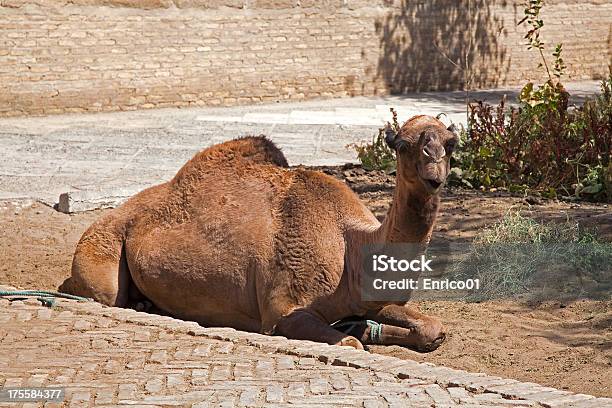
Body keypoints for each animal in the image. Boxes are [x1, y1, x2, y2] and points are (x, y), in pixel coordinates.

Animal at [59, 115, 456, 350]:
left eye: (451, 144)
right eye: (402, 144)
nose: (434, 175)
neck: (351, 243)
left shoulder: (362, 298)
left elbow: (434, 329)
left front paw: (369, 328)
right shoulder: (283, 311)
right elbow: (349, 343)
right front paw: (356, 335)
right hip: (103, 247)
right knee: (103, 293)